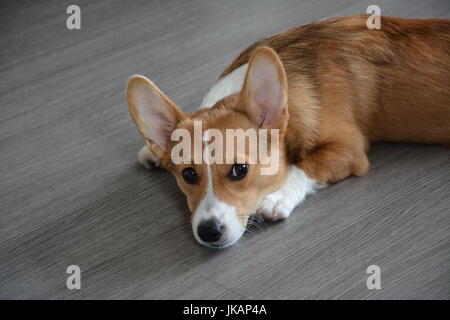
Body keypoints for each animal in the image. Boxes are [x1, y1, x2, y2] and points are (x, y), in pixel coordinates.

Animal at [126, 15, 450, 248]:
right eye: (189, 175)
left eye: (240, 170)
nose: (209, 232)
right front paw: (152, 153)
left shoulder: (349, 149)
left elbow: (306, 165)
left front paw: (277, 197)